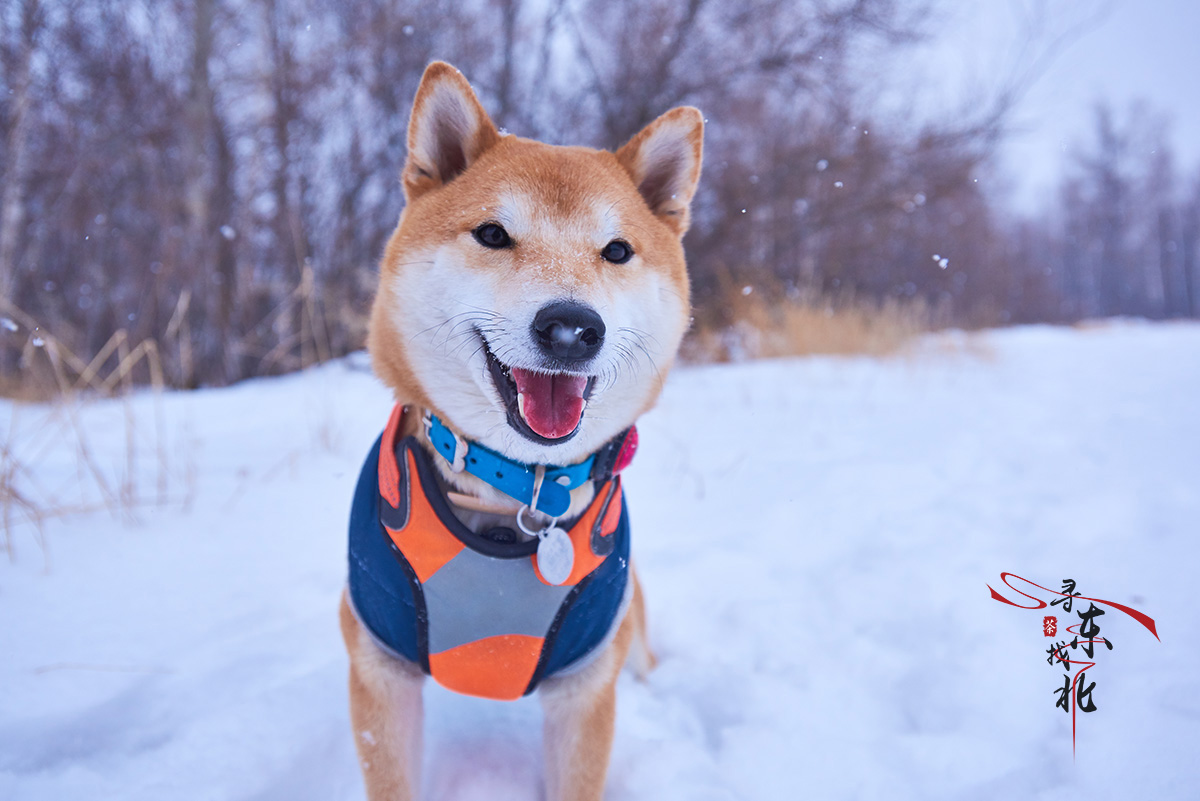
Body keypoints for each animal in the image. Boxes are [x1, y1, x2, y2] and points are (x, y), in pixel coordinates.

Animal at [340, 64, 700, 801]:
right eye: (493, 234)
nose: (571, 328)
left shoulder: (585, 688)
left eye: (617, 250)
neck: (519, 490)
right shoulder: (379, 671)